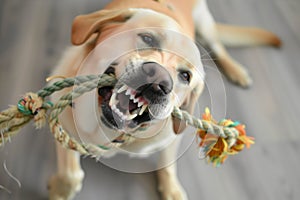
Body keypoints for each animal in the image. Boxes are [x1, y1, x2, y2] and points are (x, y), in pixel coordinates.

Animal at [48, 0, 280, 200]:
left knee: (219, 47)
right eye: (148, 39)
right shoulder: (62, 122)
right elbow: (71, 171)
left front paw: (172, 189)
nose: (159, 82)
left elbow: (168, 164)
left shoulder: (172, 136)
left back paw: (237, 71)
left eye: (185, 76)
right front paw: (62, 189)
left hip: (204, 22)